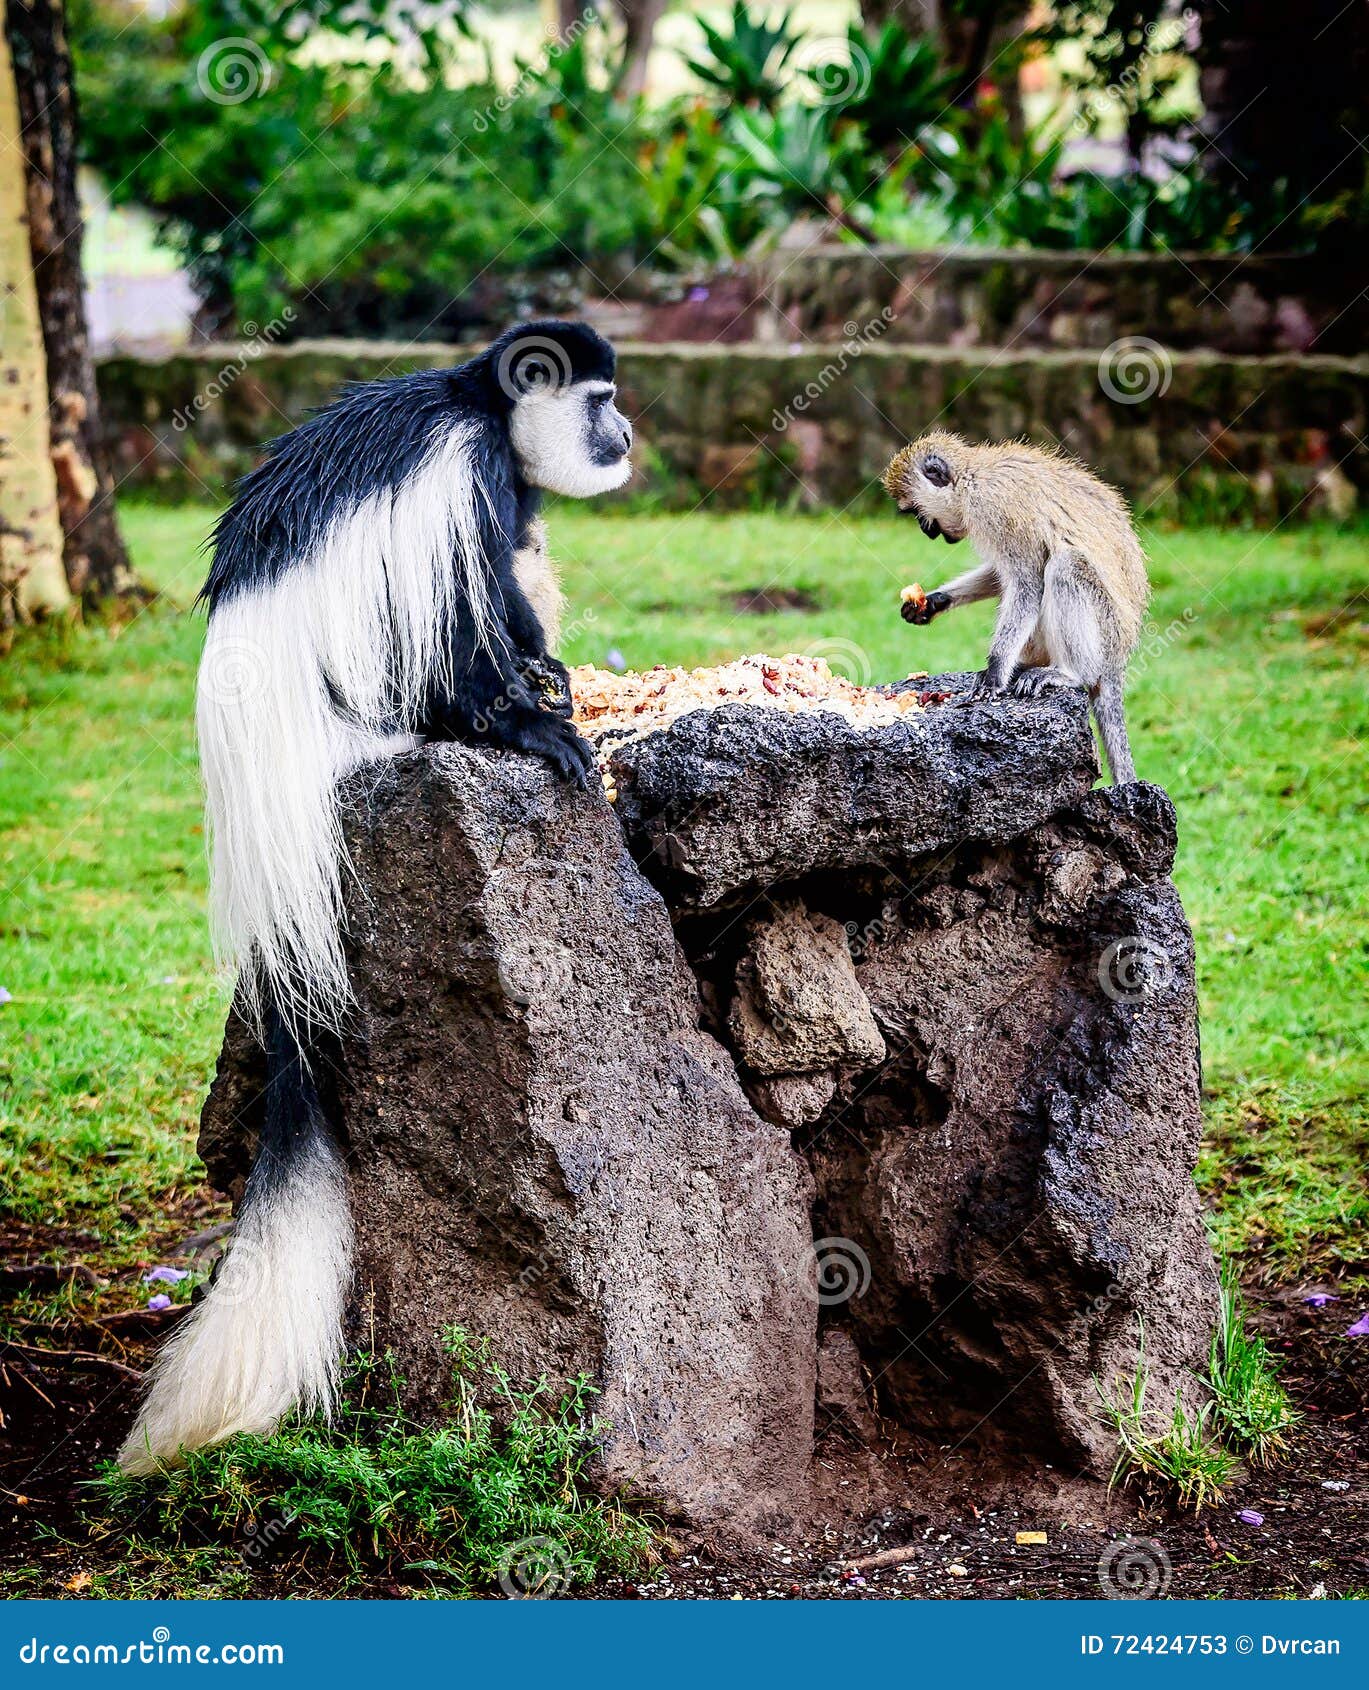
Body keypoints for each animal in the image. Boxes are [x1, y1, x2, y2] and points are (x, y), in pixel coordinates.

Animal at [119, 321, 633, 1474]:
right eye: (601, 401)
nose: (625, 439)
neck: (479, 403)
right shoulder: (465, 472)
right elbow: (469, 593)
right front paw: (533, 718)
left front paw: (555, 674)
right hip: (370, 691)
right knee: (450, 612)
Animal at [882, 431, 1149, 785]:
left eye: (914, 510)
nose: (927, 530)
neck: (971, 476)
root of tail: (1118, 659)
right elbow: (1000, 576)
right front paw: (935, 602)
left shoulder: (995, 509)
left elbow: (1027, 584)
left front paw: (994, 675)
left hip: (1106, 633)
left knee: (1064, 567)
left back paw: (1068, 673)